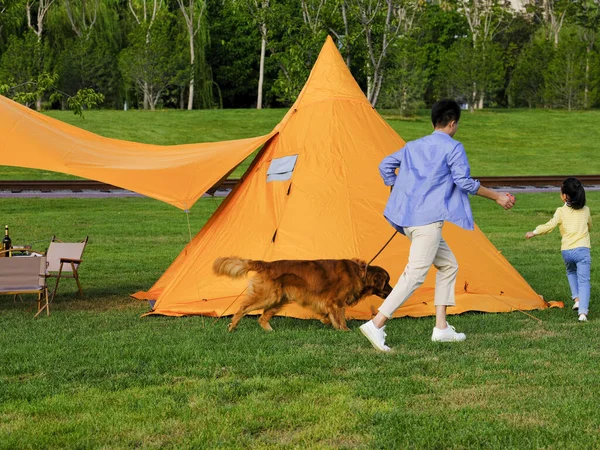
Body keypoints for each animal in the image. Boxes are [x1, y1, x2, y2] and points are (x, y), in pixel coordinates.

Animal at [212, 256, 394, 330]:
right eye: (387, 282)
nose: (393, 291)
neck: (359, 273)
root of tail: (267, 264)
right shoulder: (336, 301)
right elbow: (340, 317)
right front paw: (345, 330)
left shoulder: (330, 303)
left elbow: (328, 315)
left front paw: (327, 321)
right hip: (269, 297)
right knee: (243, 308)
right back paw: (232, 326)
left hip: (278, 299)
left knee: (262, 317)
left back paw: (271, 331)